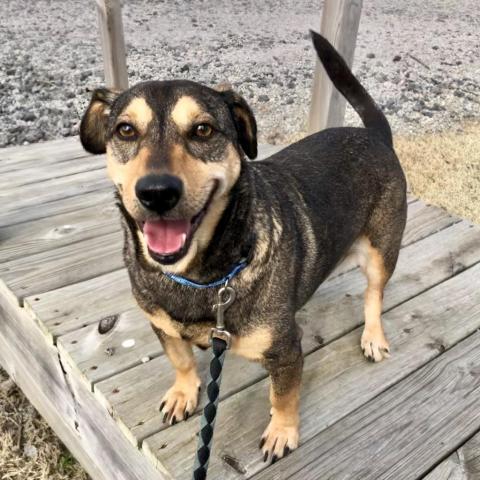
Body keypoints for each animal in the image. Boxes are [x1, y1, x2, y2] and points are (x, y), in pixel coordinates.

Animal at [79, 31, 404, 464]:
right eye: (126, 130)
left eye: (203, 130)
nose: (156, 192)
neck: (199, 278)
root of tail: (375, 135)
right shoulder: (161, 325)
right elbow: (181, 360)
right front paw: (183, 392)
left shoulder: (286, 351)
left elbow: (284, 395)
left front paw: (282, 431)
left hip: (382, 251)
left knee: (374, 294)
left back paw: (373, 336)